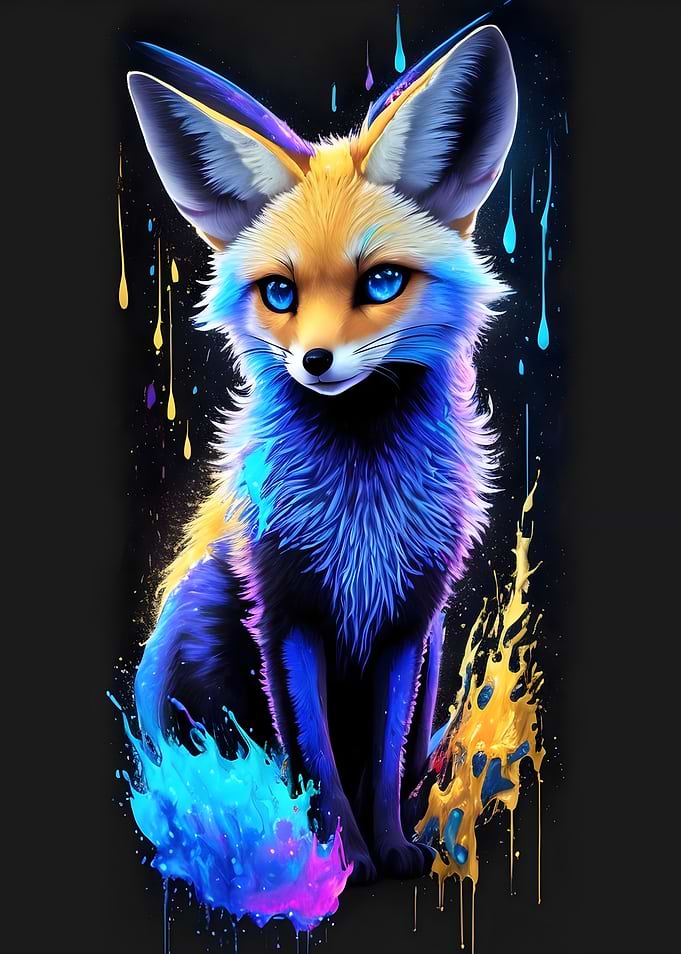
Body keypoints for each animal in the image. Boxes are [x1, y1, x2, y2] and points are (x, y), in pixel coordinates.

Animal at [128, 24, 517, 883]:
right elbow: (314, 753)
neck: (360, 505)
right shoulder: (283, 613)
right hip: (199, 630)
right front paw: (346, 855)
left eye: (380, 282)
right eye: (280, 293)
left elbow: (379, 753)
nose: (314, 361)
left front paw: (393, 847)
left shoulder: (409, 622)